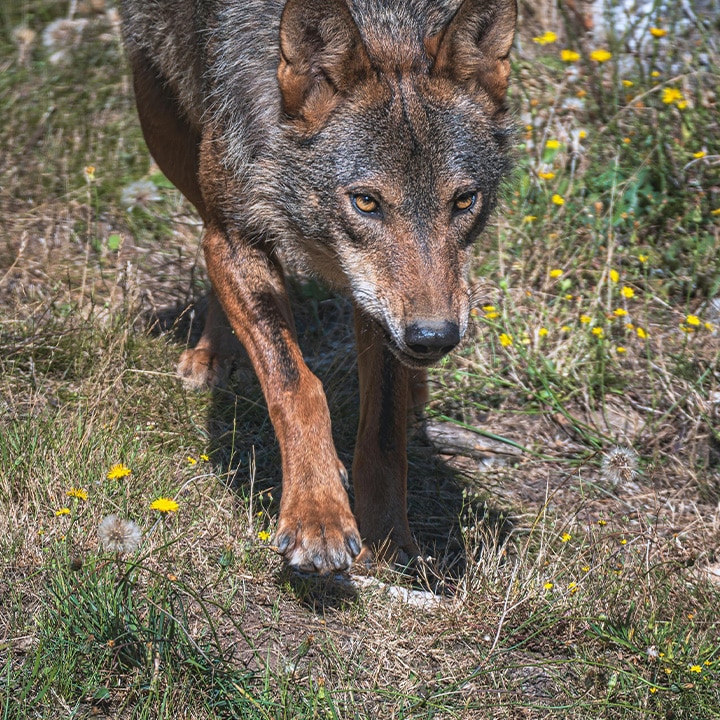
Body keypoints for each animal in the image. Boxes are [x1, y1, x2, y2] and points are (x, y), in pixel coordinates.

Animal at [120, 0, 517, 573]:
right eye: (366, 202)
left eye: (464, 201)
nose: (434, 338)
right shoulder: (235, 234)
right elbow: (296, 384)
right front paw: (318, 515)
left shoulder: (376, 299)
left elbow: (383, 429)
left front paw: (390, 540)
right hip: (171, 139)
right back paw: (216, 354)